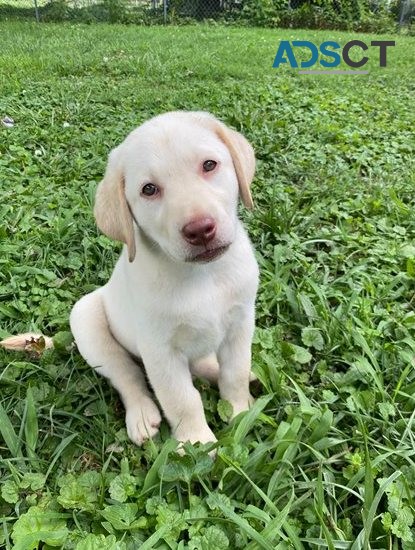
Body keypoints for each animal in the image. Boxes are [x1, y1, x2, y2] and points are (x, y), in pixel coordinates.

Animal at [70, 111, 258, 448]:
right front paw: (196, 443)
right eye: (149, 190)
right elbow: (181, 398)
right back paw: (142, 415)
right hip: (87, 321)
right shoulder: (160, 350)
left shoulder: (241, 322)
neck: (203, 275)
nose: (200, 229)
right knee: (127, 375)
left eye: (209, 165)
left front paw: (240, 412)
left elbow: (235, 372)